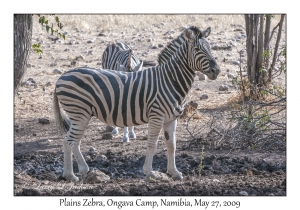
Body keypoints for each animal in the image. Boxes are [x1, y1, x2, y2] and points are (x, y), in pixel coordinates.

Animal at [52, 26, 220, 181]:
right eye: (197, 49)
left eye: (210, 48)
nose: (216, 71)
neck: (170, 81)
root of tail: (62, 76)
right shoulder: (156, 116)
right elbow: (152, 144)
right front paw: (149, 172)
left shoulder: (172, 119)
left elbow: (172, 145)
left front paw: (174, 172)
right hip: (80, 113)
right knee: (71, 141)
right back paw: (81, 171)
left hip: (79, 114)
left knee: (68, 141)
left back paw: (70, 175)